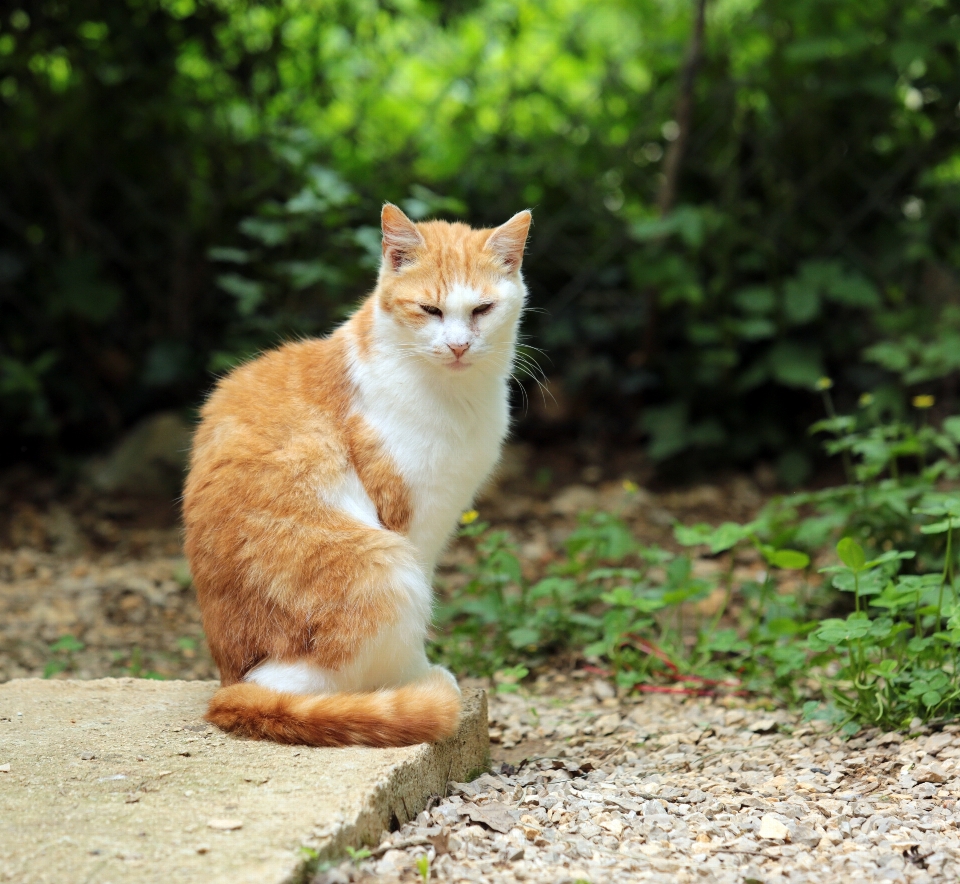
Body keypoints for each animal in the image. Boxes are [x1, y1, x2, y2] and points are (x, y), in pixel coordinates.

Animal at [180, 205, 532, 744]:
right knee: (295, 683)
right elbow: (420, 615)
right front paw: (417, 674)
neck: (457, 395)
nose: (457, 346)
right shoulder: (411, 521)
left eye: (482, 309)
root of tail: (226, 683)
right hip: (383, 564)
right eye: (429, 310)